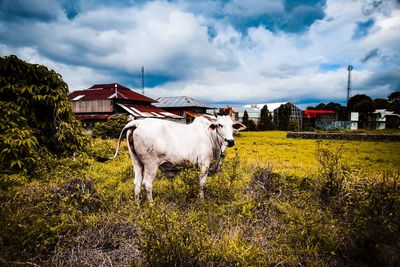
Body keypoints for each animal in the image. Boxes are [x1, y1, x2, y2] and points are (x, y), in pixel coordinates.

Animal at [101, 115, 244, 203]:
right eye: (220, 125)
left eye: (233, 125)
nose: (230, 141)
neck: (210, 135)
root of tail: (137, 122)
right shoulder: (204, 164)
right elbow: (202, 184)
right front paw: (202, 201)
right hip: (151, 164)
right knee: (147, 183)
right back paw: (151, 205)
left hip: (136, 162)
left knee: (137, 183)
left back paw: (137, 206)